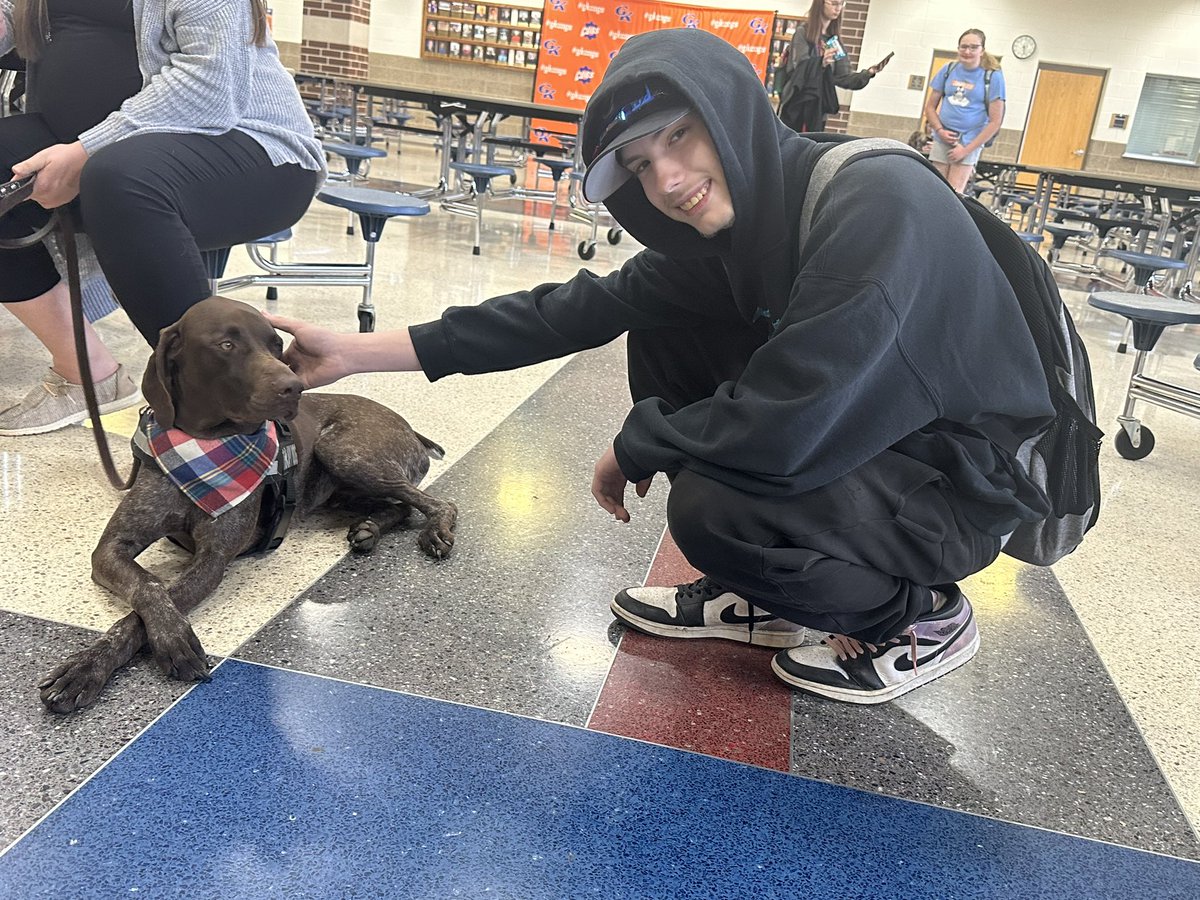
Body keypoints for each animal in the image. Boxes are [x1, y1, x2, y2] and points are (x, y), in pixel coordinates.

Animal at [38, 300, 458, 715]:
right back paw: (369, 528)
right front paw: (94, 662)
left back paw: (434, 530)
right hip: (338, 485)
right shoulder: (112, 547)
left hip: (343, 451)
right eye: (226, 345)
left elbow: (141, 613)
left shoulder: (213, 558)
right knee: (399, 507)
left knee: (438, 503)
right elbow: (149, 586)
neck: (202, 449)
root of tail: (408, 426)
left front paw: (93, 666)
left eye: (276, 345)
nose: (294, 387)